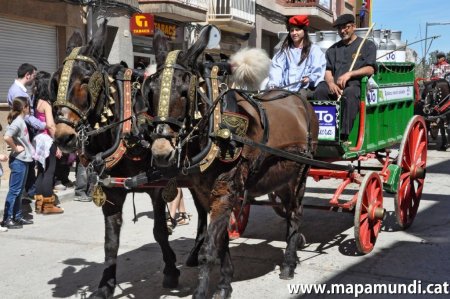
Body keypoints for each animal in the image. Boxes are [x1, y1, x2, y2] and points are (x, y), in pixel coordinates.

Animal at [52, 20, 185, 298]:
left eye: (85, 81)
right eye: (56, 80)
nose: (63, 137)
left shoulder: (157, 187)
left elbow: (159, 231)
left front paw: (170, 269)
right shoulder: (111, 190)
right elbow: (110, 241)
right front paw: (106, 284)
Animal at [144, 26, 320, 299]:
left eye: (185, 92)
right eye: (150, 92)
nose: (161, 152)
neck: (217, 128)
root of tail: (299, 98)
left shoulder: (225, 192)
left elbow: (209, 250)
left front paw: (202, 291)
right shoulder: (206, 194)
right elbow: (221, 241)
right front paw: (225, 283)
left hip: (299, 175)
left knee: (296, 213)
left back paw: (289, 262)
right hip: (281, 178)